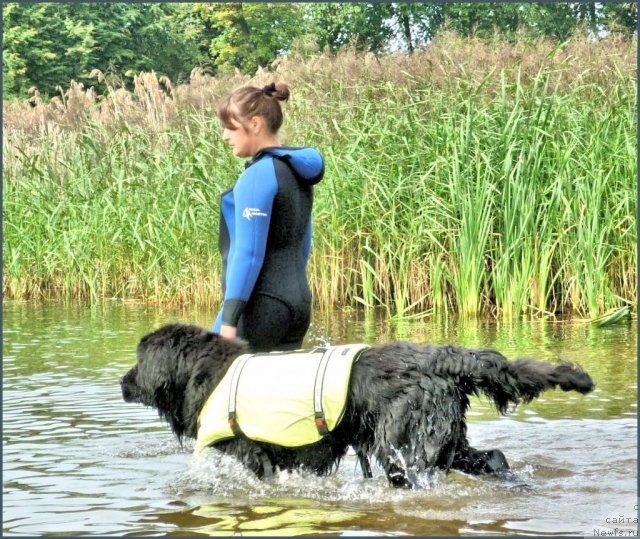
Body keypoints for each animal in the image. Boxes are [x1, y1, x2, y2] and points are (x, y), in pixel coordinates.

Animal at [121, 324, 596, 490]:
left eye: (139, 361)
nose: (123, 382)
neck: (209, 374)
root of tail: (439, 358)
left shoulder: (250, 455)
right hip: (447, 436)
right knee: (493, 457)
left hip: (402, 444)